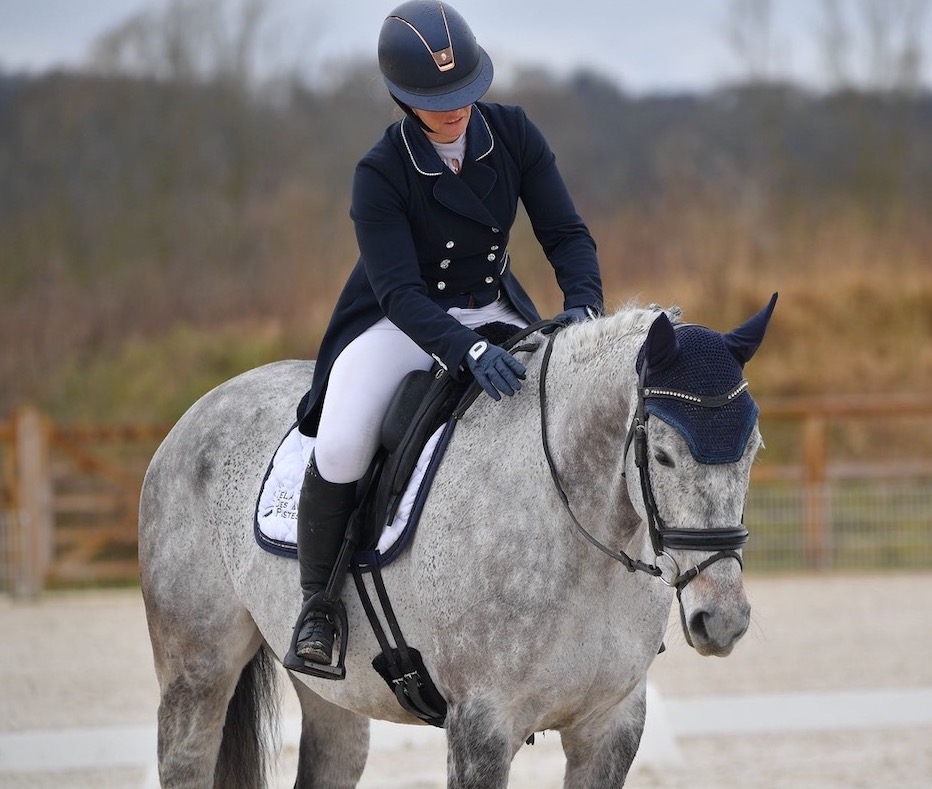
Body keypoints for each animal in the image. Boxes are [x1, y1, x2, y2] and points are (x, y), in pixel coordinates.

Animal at [138, 292, 776, 784]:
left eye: (753, 449)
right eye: (663, 456)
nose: (723, 620)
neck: (581, 538)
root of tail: (201, 409)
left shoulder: (610, 727)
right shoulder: (482, 726)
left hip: (329, 695)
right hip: (197, 671)